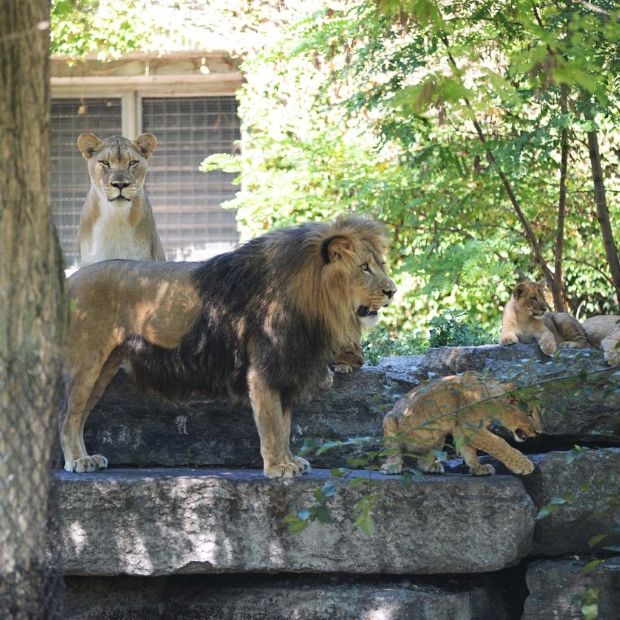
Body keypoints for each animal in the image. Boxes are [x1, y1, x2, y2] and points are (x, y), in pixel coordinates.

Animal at [63, 216, 398, 478]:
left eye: (379, 265)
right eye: (364, 267)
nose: (392, 291)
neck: (310, 301)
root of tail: (69, 281)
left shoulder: (285, 366)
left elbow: (286, 423)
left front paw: (290, 460)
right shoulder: (264, 368)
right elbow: (272, 423)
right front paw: (278, 467)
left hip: (105, 367)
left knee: (78, 417)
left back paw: (86, 458)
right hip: (86, 364)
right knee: (68, 418)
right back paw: (77, 461)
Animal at [380, 370, 540, 478]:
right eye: (529, 414)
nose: (539, 432)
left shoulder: (460, 428)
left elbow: (468, 450)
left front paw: (478, 468)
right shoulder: (470, 426)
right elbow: (499, 443)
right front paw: (523, 464)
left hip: (438, 440)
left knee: (421, 461)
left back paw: (431, 465)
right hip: (390, 419)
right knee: (393, 450)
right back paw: (392, 466)